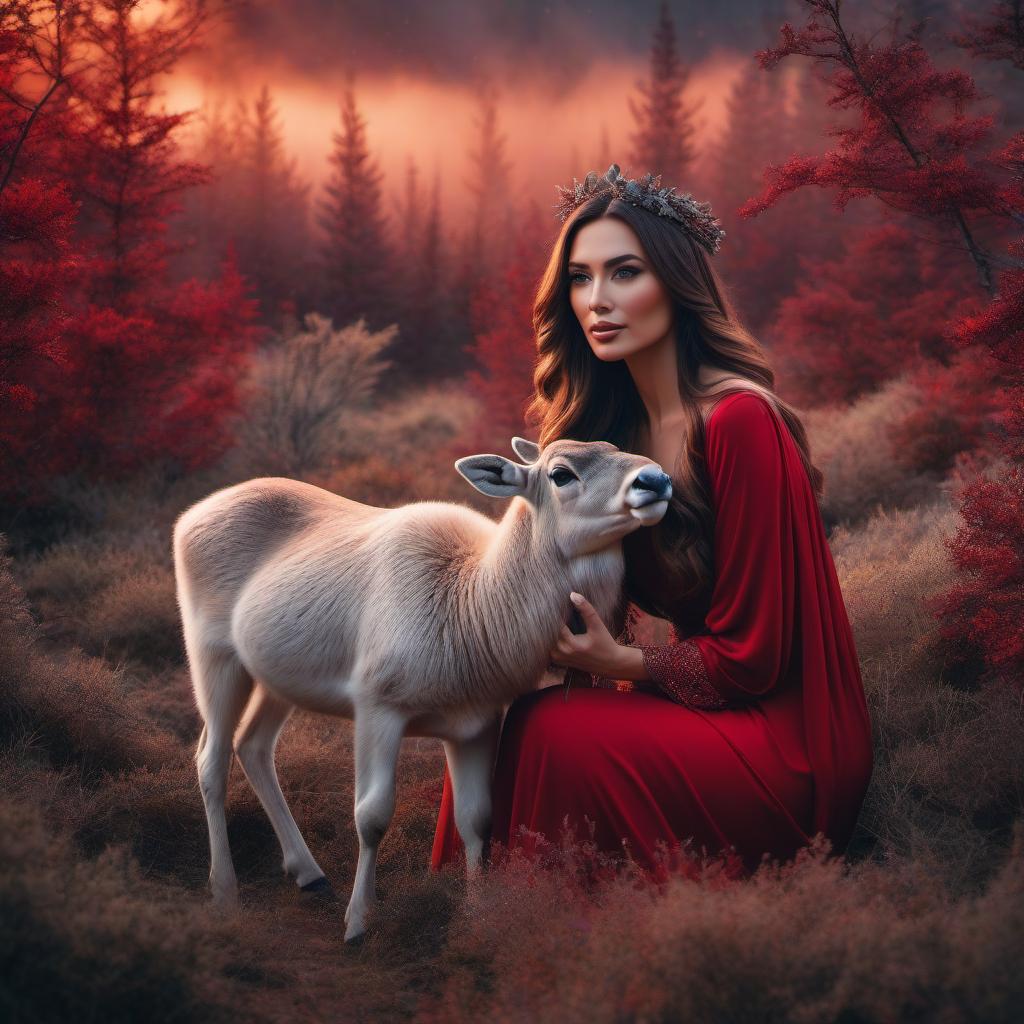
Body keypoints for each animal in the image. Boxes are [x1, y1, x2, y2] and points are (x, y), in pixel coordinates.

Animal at [174, 436, 671, 937]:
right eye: (561, 473)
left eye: (615, 446)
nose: (656, 479)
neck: (471, 607)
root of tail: (186, 519)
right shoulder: (376, 704)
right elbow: (371, 815)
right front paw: (358, 923)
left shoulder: (477, 722)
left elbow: (477, 817)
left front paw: (478, 915)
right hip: (213, 654)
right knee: (211, 758)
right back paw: (225, 891)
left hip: (276, 678)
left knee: (252, 745)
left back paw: (310, 875)